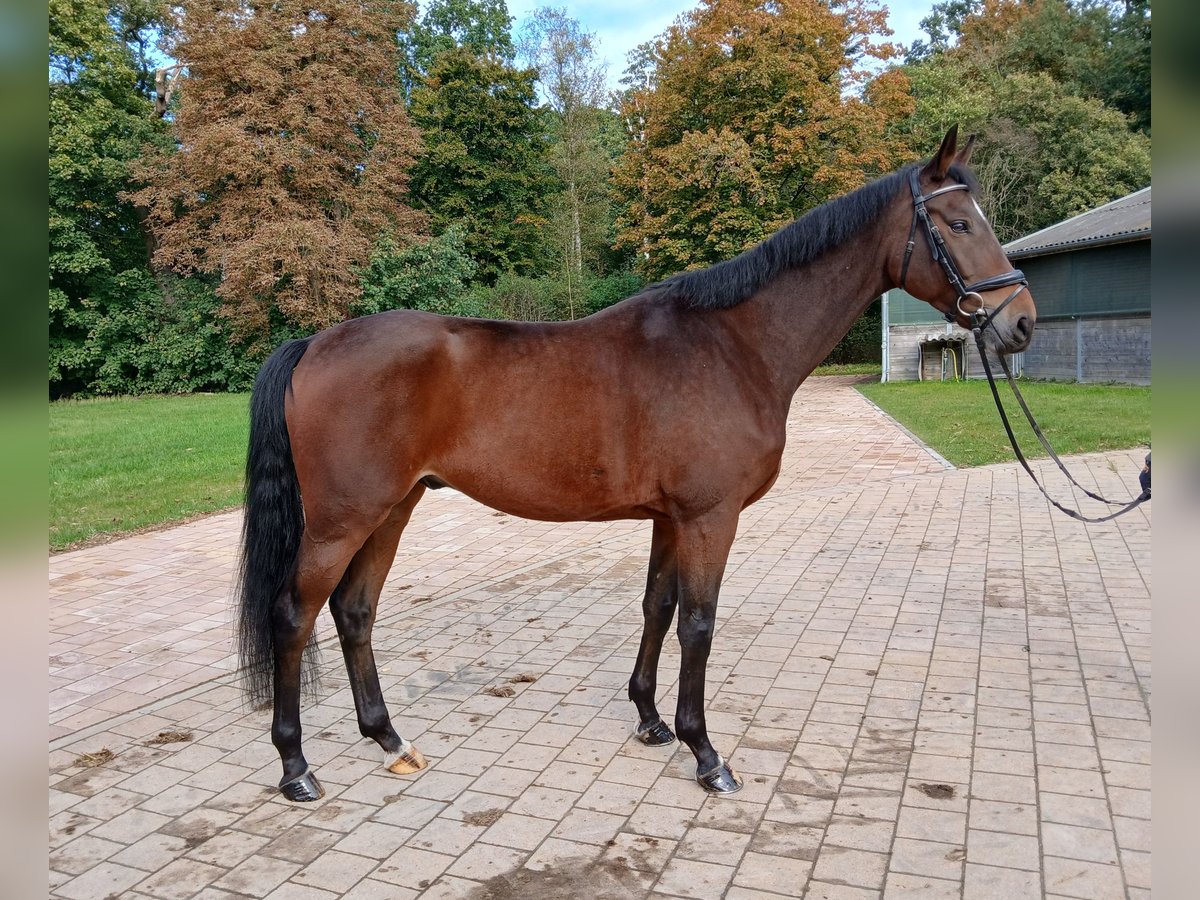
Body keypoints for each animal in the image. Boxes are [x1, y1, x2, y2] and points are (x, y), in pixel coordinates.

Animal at [238, 128, 1036, 801]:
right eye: (959, 225)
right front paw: (706, 754)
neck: (732, 346)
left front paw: (651, 721)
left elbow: (658, 606)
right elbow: (700, 625)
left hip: (393, 508)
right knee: (293, 615)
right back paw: (296, 767)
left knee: (355, 611)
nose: (1021, 321)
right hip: (341, 520)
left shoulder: (669, 518)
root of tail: (313, 343)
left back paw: (389, 740)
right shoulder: (709, 517)